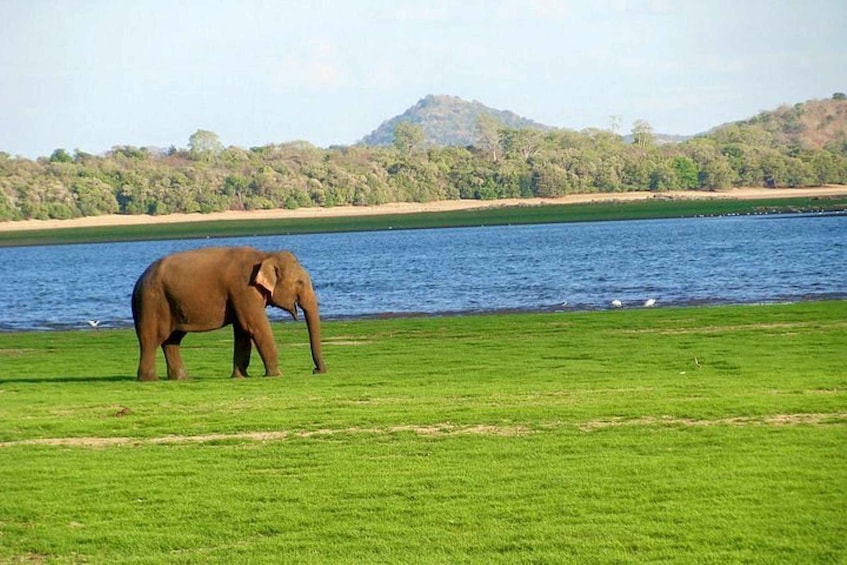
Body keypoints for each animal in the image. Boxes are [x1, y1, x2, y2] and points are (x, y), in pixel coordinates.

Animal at [131, 246, 326, 381]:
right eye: (300, 282)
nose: (316, 371)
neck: (265, 255)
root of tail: (139, 280)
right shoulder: (243, 288)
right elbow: (255, 326)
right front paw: (276, 375)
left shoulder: (240, 295)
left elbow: (242, 331)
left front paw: (241, 376)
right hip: (151, 302)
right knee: (151, 339)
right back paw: (149, 379)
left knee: (172, 340)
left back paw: (181, 378)